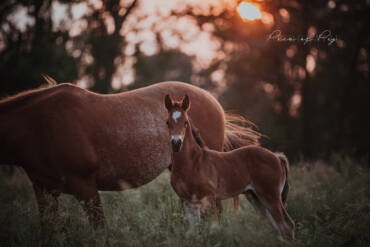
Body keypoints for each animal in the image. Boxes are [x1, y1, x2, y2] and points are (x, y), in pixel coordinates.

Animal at [165, 94, 294, 239]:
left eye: (186, 122)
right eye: (167, 122)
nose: (176, 143)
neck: (193, 163)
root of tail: (277, 157)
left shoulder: (209, 199)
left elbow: (213, 229)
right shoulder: (187, 202)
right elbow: (193, 233)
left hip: (271, 197)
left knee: (287, 225)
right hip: (255, 197)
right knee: (275, 226)